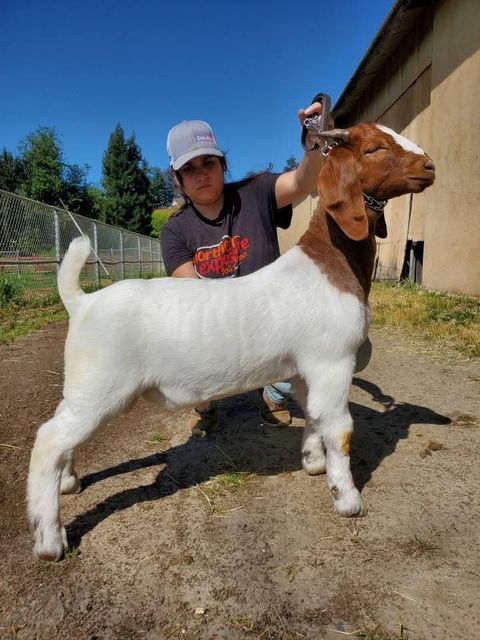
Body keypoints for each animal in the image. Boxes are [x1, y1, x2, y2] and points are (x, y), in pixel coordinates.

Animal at [27, 123, 435, 560]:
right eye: (374, 148)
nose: (429, 166)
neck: (329, 262)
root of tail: (81, 301)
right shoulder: (333, 360)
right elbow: (340, 427)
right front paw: (348, 500)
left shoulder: (306, 367)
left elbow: (314, 414)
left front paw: (312, 462)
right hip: (103, 384)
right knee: (49, 440)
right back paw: (50, 541)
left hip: (84, 385)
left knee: (59, 426)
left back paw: (70, 482)